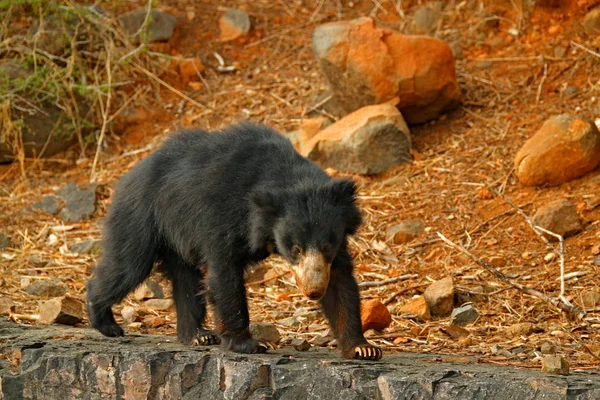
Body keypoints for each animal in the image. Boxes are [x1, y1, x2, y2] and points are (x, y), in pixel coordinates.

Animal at [86, 122, 382, 360]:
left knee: (186, 279)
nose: (313, 291)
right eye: (294, 249)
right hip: (141, 217)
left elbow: (341, 282)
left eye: (326, 247)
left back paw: (198, 334)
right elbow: (224, 275)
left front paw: (362, 348)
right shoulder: (220, 216)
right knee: (127, 265)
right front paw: (251, 343)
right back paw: (106, 323)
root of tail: (128, 175)